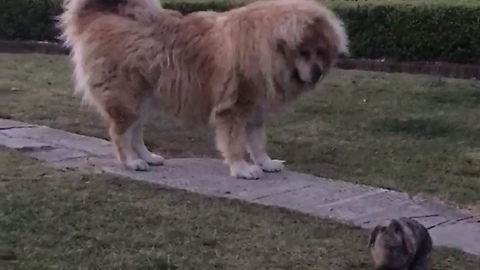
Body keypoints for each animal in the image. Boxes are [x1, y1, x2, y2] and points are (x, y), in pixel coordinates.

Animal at [58, 0, 346, 179]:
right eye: (303, 52)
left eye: (320, 52)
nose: (317, 72)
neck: (266, 48)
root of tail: (102, 16)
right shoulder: (234, 109)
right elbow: (235, 142)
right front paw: (242, 169)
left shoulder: (255, 110)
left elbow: (257, 142)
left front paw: (265, 163)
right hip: (128, 99)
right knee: (119, 133)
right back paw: (131, 162)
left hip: (143, 100)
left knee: (135, 132)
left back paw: (148, 157)